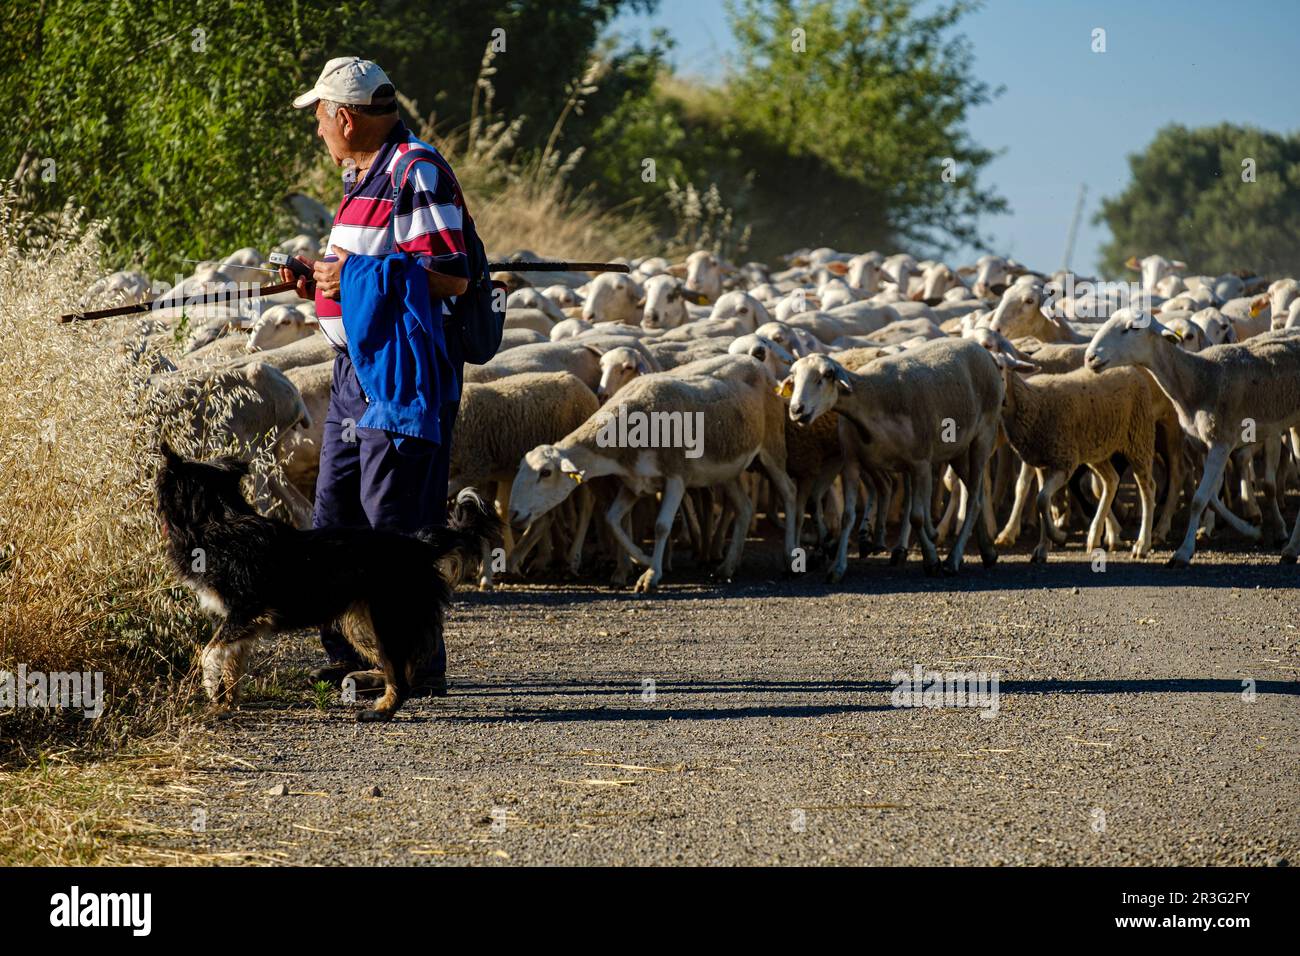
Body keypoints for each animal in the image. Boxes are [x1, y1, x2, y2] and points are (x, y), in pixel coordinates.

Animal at [153, 444, 496, 723]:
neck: (217, 519)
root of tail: (419, 544)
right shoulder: (239, 624)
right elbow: (231, 664)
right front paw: (225, 704)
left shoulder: (246, 611)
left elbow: (209, 653)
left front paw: (211, 688)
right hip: (361, 621)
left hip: (386, 619)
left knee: (401, 677)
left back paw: (380, 711)